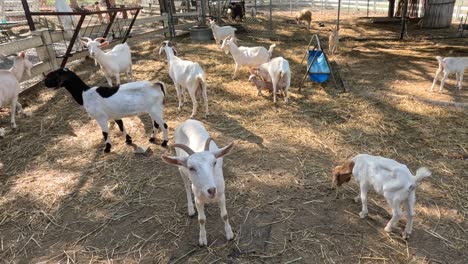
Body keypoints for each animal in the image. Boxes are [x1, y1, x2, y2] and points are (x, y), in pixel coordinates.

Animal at [162, 118, 236, 246]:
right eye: (191, 168)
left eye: (214, 162)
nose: (211, 190)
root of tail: (187, 120)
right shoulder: (198, 199)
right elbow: (201, 219)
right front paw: (202, 239)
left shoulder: (221, 195)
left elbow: (224, 215)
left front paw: (229, 234)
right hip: (181, 169)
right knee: (186, 187)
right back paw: (191, 209)